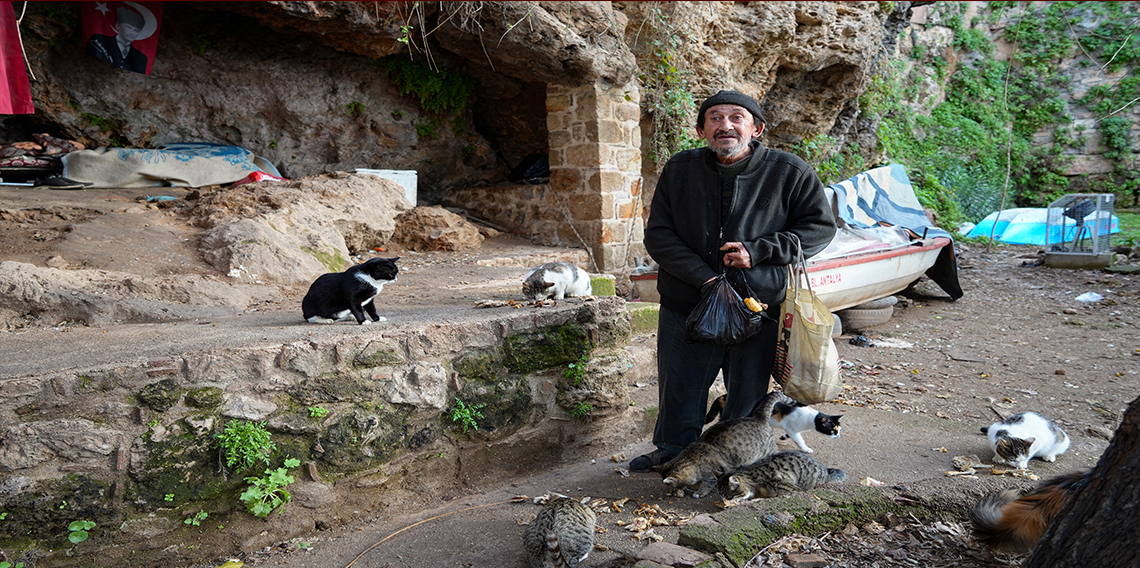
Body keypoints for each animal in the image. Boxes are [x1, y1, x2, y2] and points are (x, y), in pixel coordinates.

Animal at [656, 390, 788, 497]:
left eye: (675, 486)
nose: (675, 491)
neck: (692, 458)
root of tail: (758, 417)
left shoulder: (712, 472)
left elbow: (708, 483)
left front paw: (700, 492)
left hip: (767, 450)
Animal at [702, 394, 839, 451]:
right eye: (833, 430)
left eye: (839, 430)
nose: (838, 436)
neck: (810, 418)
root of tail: (723, 396)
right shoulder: (792, 428)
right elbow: (799, 440)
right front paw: (806, 449)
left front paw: (783, 437)